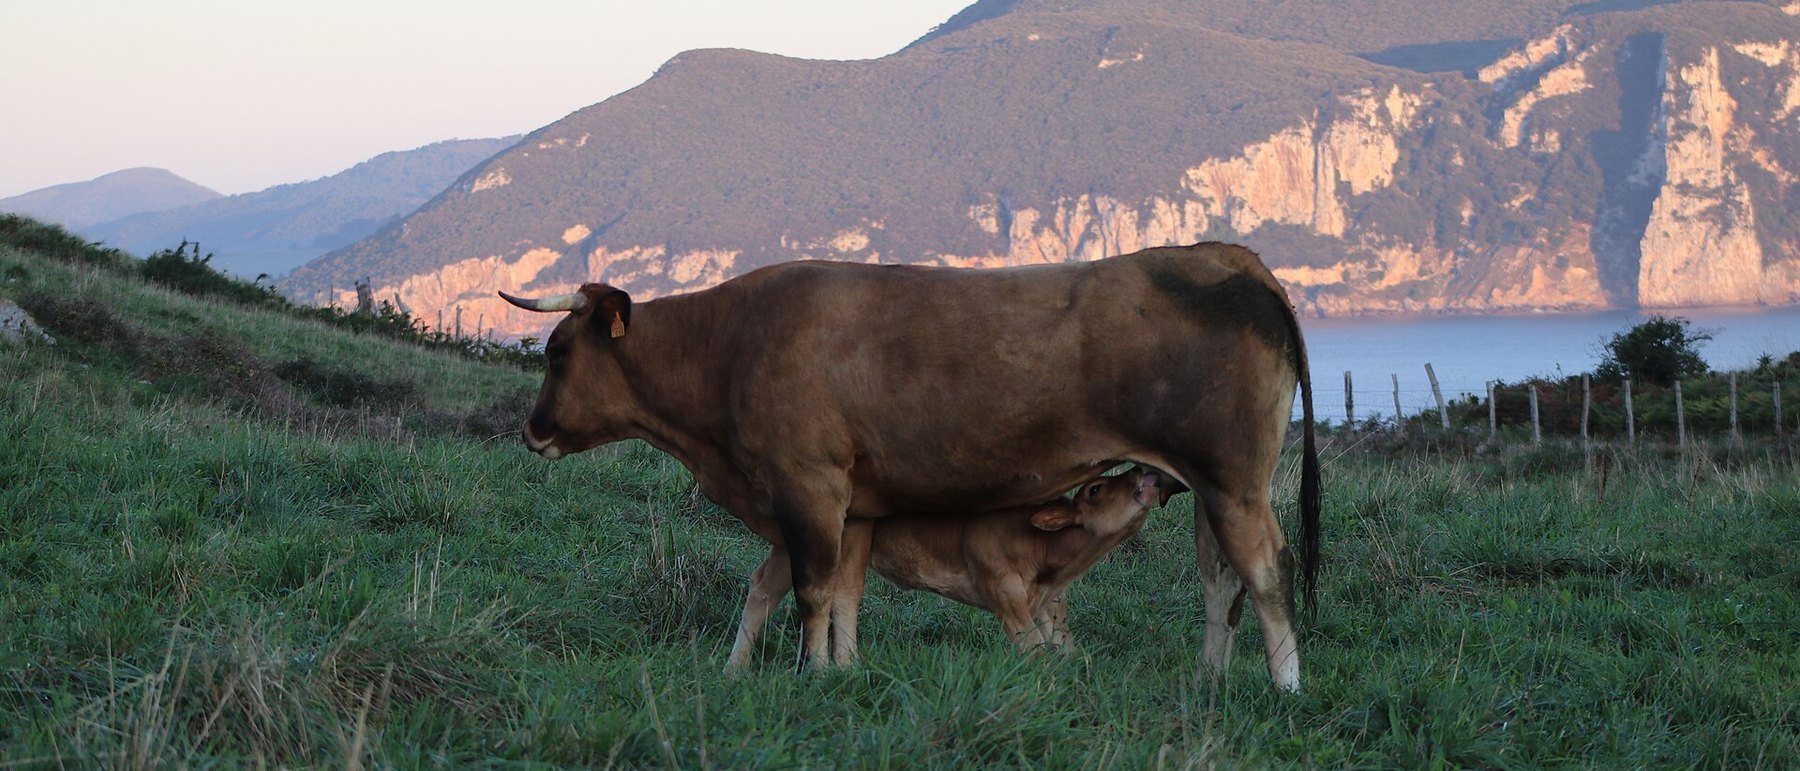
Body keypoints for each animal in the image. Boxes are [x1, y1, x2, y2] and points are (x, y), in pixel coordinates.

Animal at [727, 467, 1164, 667]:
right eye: (1095, 489)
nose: (1144, 472)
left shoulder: (1049, 600)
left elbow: (1064, 644)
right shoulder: (1003, 590)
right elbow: (1033, 648)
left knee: (764, 584)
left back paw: (737, 669)